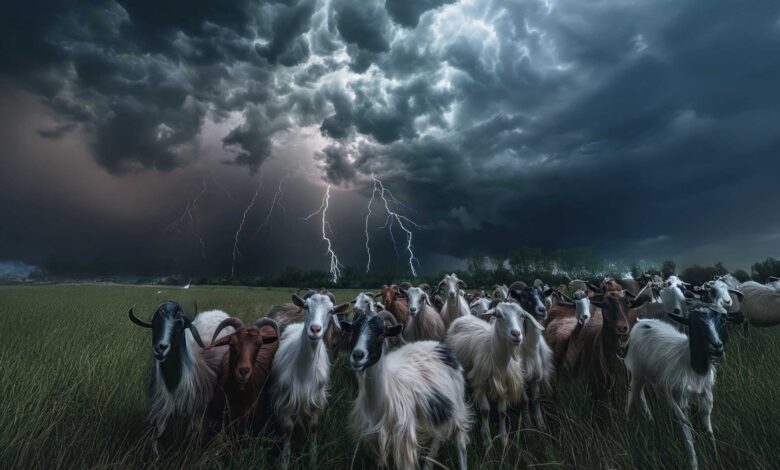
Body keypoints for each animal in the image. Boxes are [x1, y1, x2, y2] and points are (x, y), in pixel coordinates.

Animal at [126, 302, 232, 456]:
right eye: (155, 323)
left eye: (179, 325)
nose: (160, 348)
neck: (173, 386)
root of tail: (217, 312)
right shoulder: (160, 411)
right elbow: (156, 440)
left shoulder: (198, 413)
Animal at [272, 292, 350, 468]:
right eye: (306, 306)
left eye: (331, 311)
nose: (315, 329)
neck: (304, 373)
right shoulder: (285, 399)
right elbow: (287, 429)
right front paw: (284, 461)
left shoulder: (316, 400)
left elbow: (313, 428)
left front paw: (313, 460)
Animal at [340, 310, 470, 468]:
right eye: (353, 331)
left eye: (382, 335)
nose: (358, 355)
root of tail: (439, 346)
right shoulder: (375, 440)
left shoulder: (405, 440)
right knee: (436, 440)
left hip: (457, 407)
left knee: (460, 445)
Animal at [620, 304, 744, 470]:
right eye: (694, 325)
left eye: (722, 321)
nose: (717, 346)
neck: (694, 368)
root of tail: (641, 321)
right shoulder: (679, 400)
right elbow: (687, 434)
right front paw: (694, 464)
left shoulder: (706, 396)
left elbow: (708, 431)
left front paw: (716, 459)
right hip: (635, 372)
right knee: (633, 395)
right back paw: (629, 419)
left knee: (640, 396)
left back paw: (650, 420)